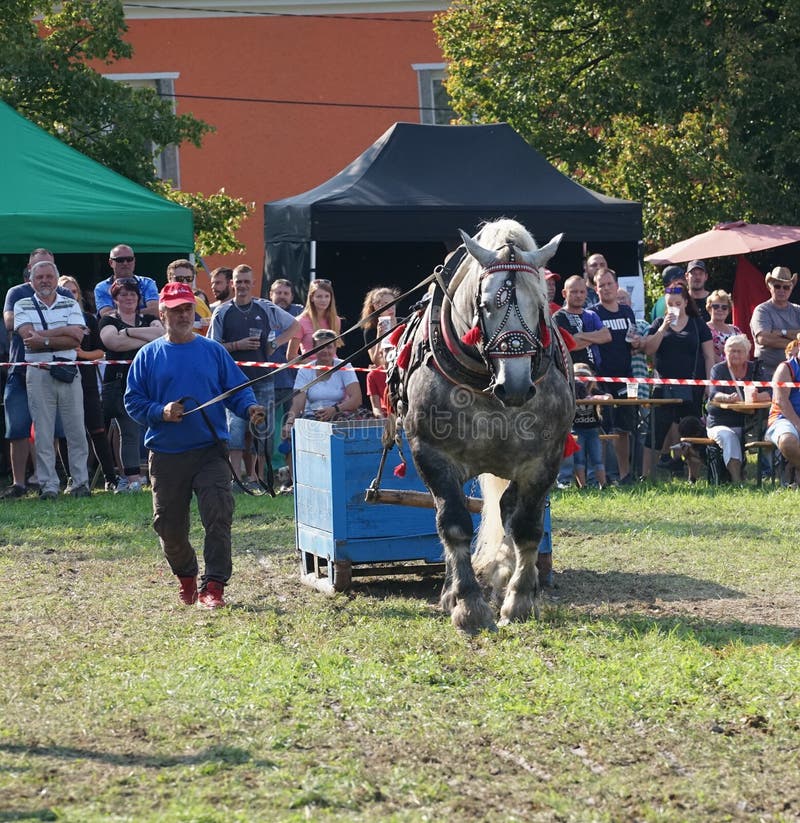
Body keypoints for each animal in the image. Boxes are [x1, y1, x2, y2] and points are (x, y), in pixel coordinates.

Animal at [389, 218, 575, 634]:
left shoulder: (544, 460)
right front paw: (468, 604)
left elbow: (526, 527)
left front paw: (519, 600)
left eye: (540, 305)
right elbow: (454, 524)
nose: (517, 386)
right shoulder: (432, 454)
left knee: (506, 511)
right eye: (488, 305)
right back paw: (451, 590)